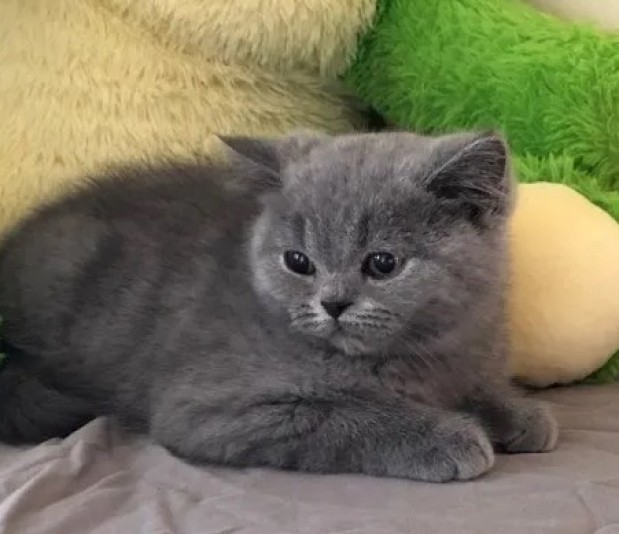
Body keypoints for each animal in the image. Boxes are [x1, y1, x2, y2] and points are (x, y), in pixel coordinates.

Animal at [0, 132, 556, 484]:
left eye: (382, 263)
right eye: (298, 261)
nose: (333, 303)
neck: (418, 356)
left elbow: (480, 386)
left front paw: (518, 412)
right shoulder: (209, 409)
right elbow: (342, 415)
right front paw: (443, 437)